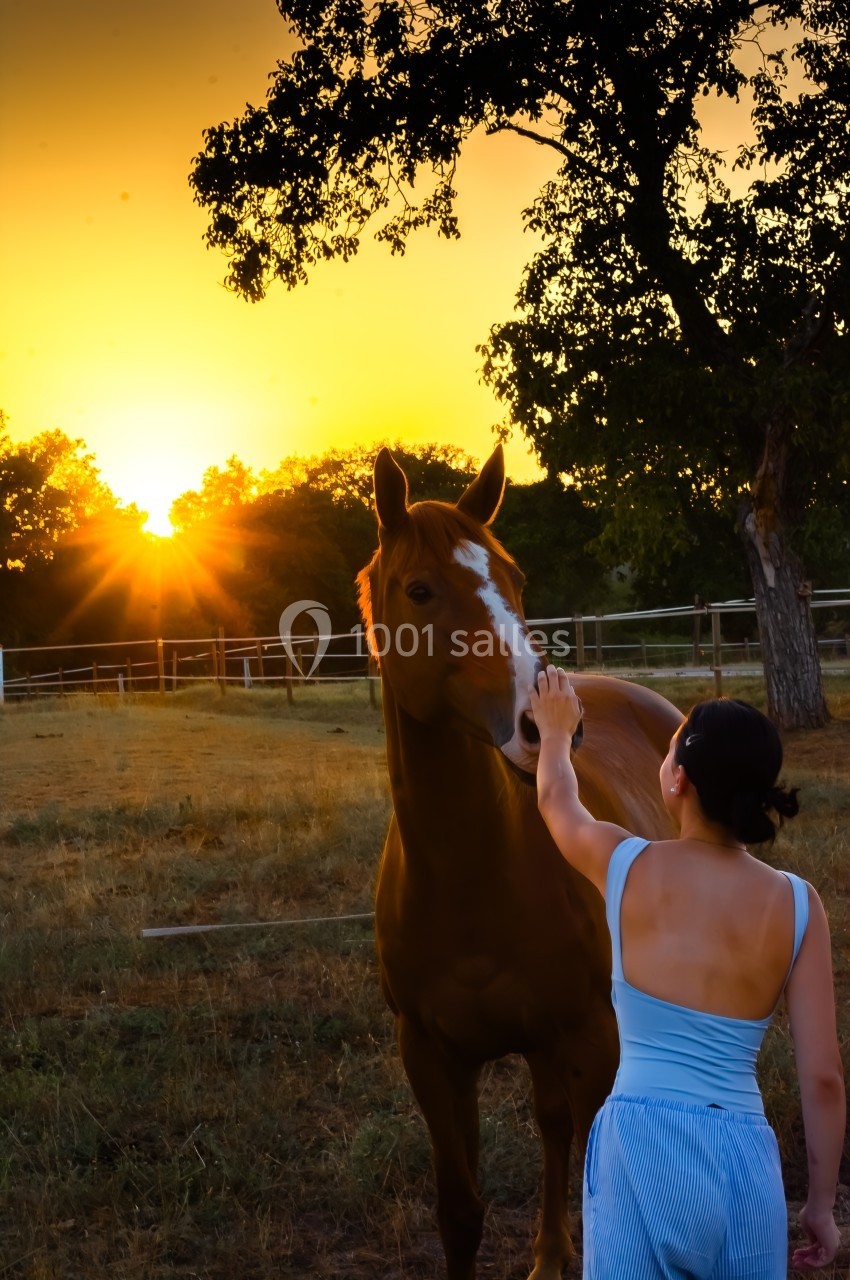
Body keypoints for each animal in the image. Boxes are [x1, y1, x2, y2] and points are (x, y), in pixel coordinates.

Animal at [357, 445, 683, 1280]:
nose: (548, 726)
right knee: (551, 1126)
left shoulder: (592, 1037)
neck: (473, 882)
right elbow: (461, 1212)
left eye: (515, 580)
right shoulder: (431, 1056)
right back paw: (545, 1252)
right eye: (419, 589)